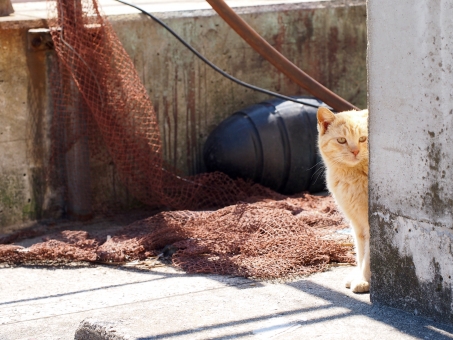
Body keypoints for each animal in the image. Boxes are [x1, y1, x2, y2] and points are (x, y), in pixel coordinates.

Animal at [316, 107, 370, 294]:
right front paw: (360, 277)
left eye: (362, 139)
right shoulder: (357, 224)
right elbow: (360, 253)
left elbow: (368, 256)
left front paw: (363, 281)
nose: (355, 151)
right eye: (341, 140)